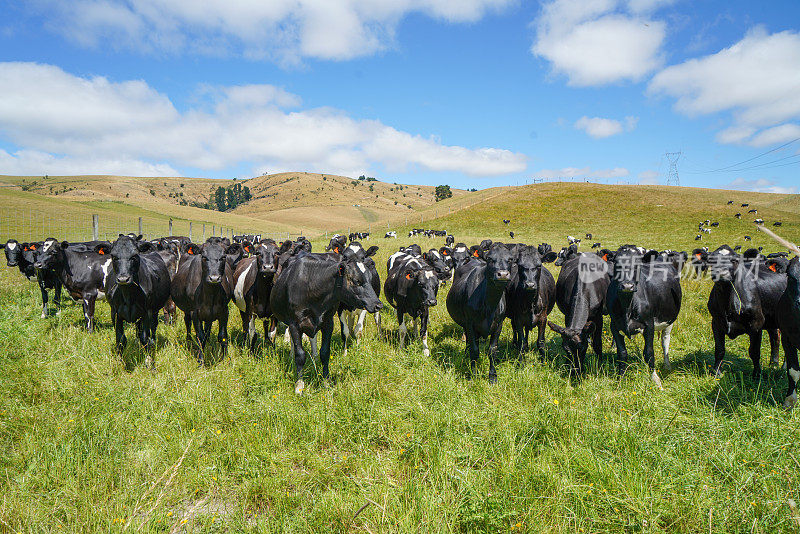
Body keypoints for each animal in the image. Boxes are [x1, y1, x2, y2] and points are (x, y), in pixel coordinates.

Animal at [95, 238, 170, 368]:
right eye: (113, 256)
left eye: (134, 256)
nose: (123, 279)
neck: (128, 296)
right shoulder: (115, 313)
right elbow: (120, 339)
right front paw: (119, 362)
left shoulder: (146, 313)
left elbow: (145, 338)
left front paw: (149, 362)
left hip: (154, 310)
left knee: (153, 327)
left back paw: (153, 342)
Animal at [268, 253, 382, 396]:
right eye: (356, 281)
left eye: (370, 279)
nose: (378, 304)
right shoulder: (295, 324)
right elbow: (300, 354)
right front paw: (299, 385)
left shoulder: (328, 323)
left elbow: (325, 353)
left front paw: (326, 381)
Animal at [444, 245, 520, 384]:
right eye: (490, 258)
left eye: (510, 259)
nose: (503, 274)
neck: (489, 305)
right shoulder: (470, 324)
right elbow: (474, 350)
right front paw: (473, 375)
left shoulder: (498, 325)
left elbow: (493, 350)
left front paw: (493, 376)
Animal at [604, 247, 684, 390]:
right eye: (617, 264)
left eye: (637, 265)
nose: (627, 286)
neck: (628, 306)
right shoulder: (614, 326)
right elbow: (622, 353)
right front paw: (620, 380)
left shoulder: (649, 325)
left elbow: (649, 353)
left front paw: (656, 380)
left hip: (669, 321)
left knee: (665, 341)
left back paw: (667, 365)